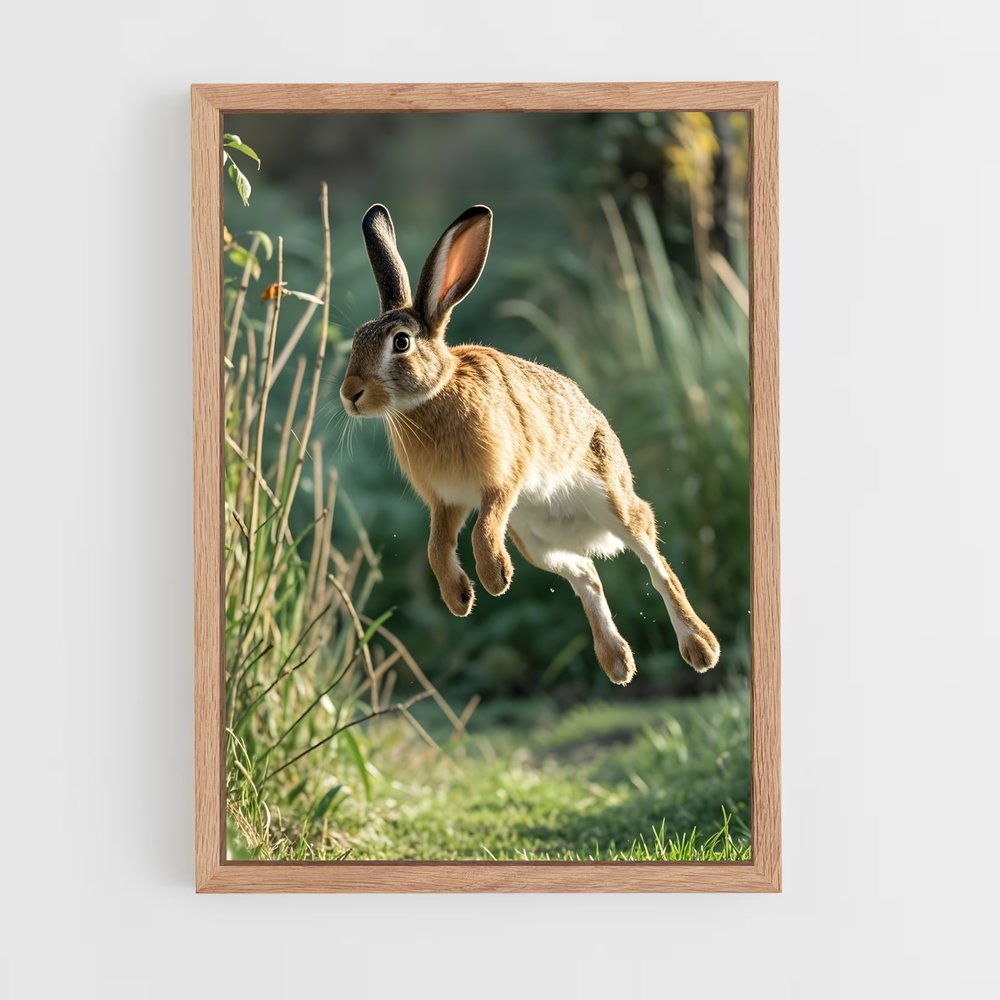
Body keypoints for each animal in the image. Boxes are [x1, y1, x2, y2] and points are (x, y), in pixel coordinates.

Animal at [340, 203, 720, 685]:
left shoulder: (502, 480)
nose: (350, 394)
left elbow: (482, 530)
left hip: (610, 502)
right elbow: (435, 549)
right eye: (356, 339)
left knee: (655, 564)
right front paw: (459, 599)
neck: (435, 394)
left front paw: (494, 578)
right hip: (536, 542)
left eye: (401, 343)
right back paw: (617, 663)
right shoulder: (446, 502)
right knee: (587, 573)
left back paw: (701, 648)